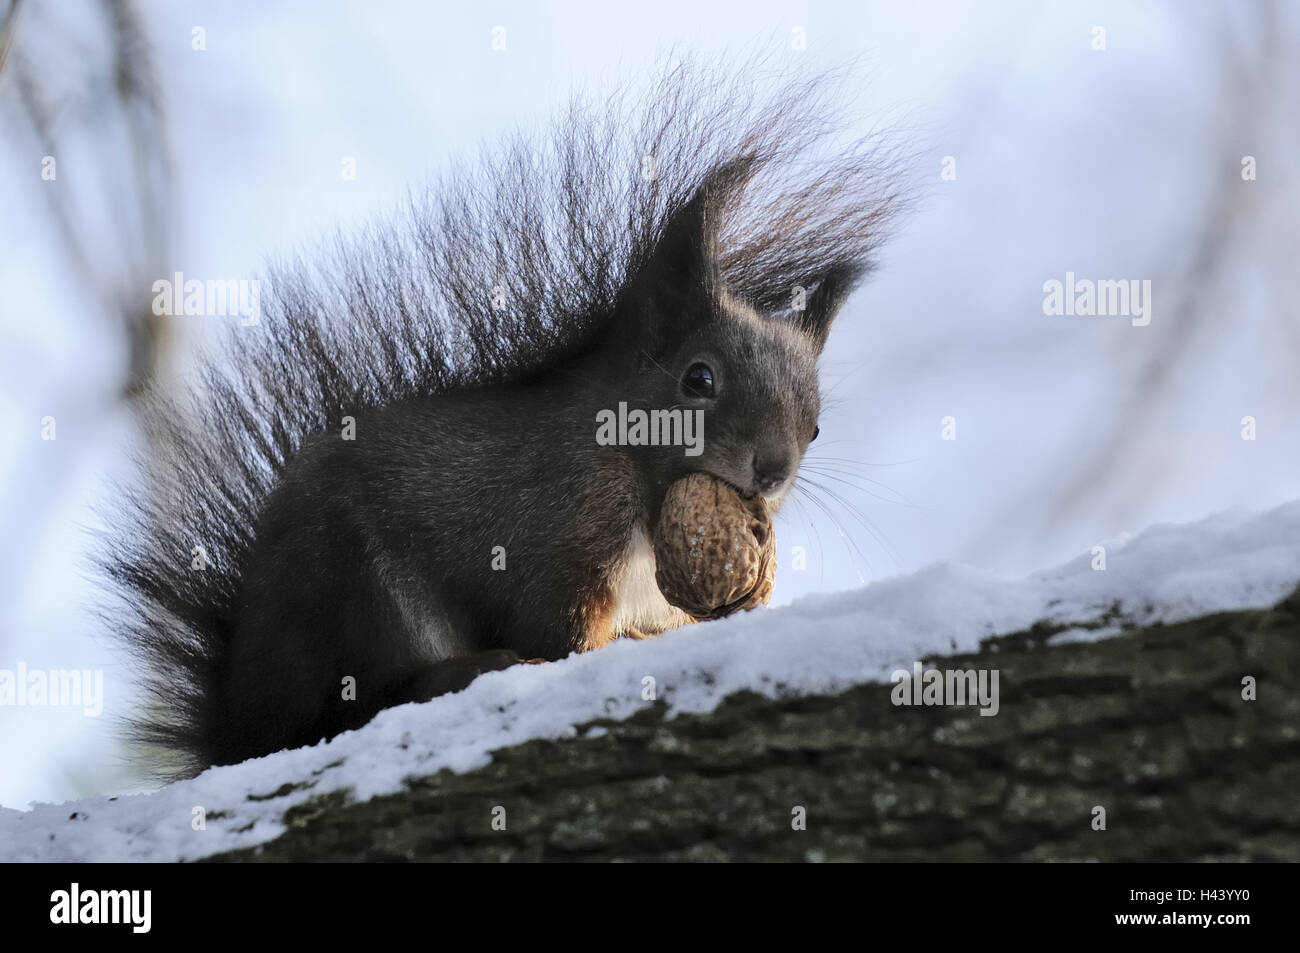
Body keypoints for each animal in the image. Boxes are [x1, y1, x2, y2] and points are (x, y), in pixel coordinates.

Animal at [104, 57, 904, 774]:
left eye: (817, 425)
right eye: (698, 379)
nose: (771, 472)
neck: (634, 469)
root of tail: (240, 716)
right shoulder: (557, 531)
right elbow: (559, 623)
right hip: (352, 588)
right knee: (343, 709)